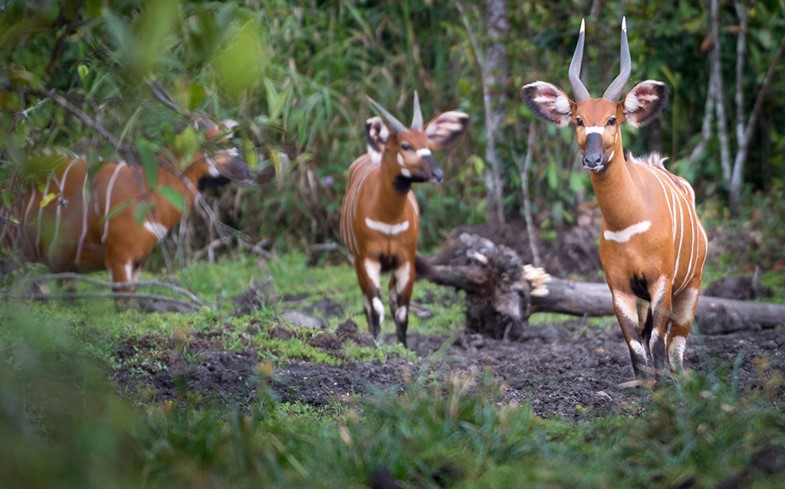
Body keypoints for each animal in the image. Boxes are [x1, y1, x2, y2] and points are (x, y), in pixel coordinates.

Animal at [340, 93, 468, 346]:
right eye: (405, 145)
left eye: (428, 145)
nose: (438, 174)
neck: (388, 218)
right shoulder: (367, 259)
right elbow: (376, 307)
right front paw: (378, 347)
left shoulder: (405, 259)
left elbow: (401, 310)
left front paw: (404, 348)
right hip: (356, 261)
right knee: (368, 301)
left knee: (390, 296)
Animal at [524, 18, 708, 378]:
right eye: (579, 120)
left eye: (612, 119)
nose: (593, 159)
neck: (628, 223)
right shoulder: (619, 287)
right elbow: (636, 348)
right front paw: (642, 385)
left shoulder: (661, 281)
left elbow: (657, 344)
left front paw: (662, 385)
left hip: (691, 286)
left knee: (675, 346)